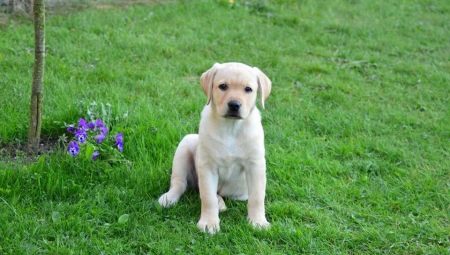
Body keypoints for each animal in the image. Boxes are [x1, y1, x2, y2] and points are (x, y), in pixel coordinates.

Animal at [158, 61, 270, 233]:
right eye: (222, 86)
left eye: (248, 89)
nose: (234, 105)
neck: (231, 127)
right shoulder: (207, 166)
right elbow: (207, 197)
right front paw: (208, 223)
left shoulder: (255, 165)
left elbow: (257, 197)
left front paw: (258, 221)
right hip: (186, 144)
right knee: (180, 183)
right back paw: (169, 198)